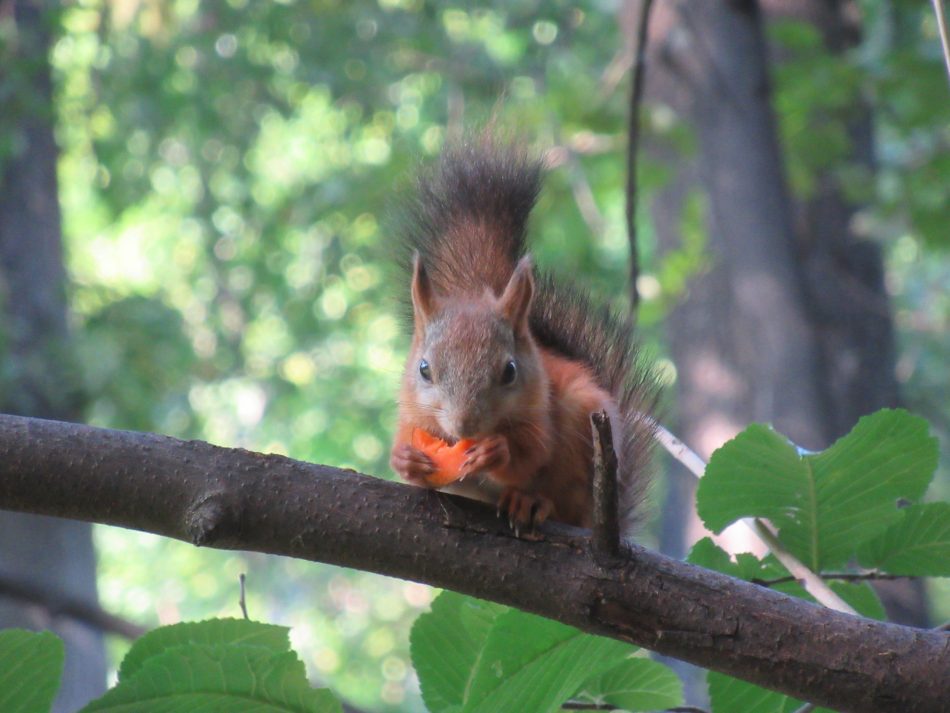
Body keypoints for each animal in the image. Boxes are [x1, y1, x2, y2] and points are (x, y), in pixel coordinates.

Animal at [390, 138, 660, 528]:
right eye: (424, 370)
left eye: (510, 371)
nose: (464, 426)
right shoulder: (412, 415)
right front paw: (406, 460)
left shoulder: (540, 411)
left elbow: (532, 452)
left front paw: (497, 452)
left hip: (581, 432)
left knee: (563, 500)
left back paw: (532, 502)